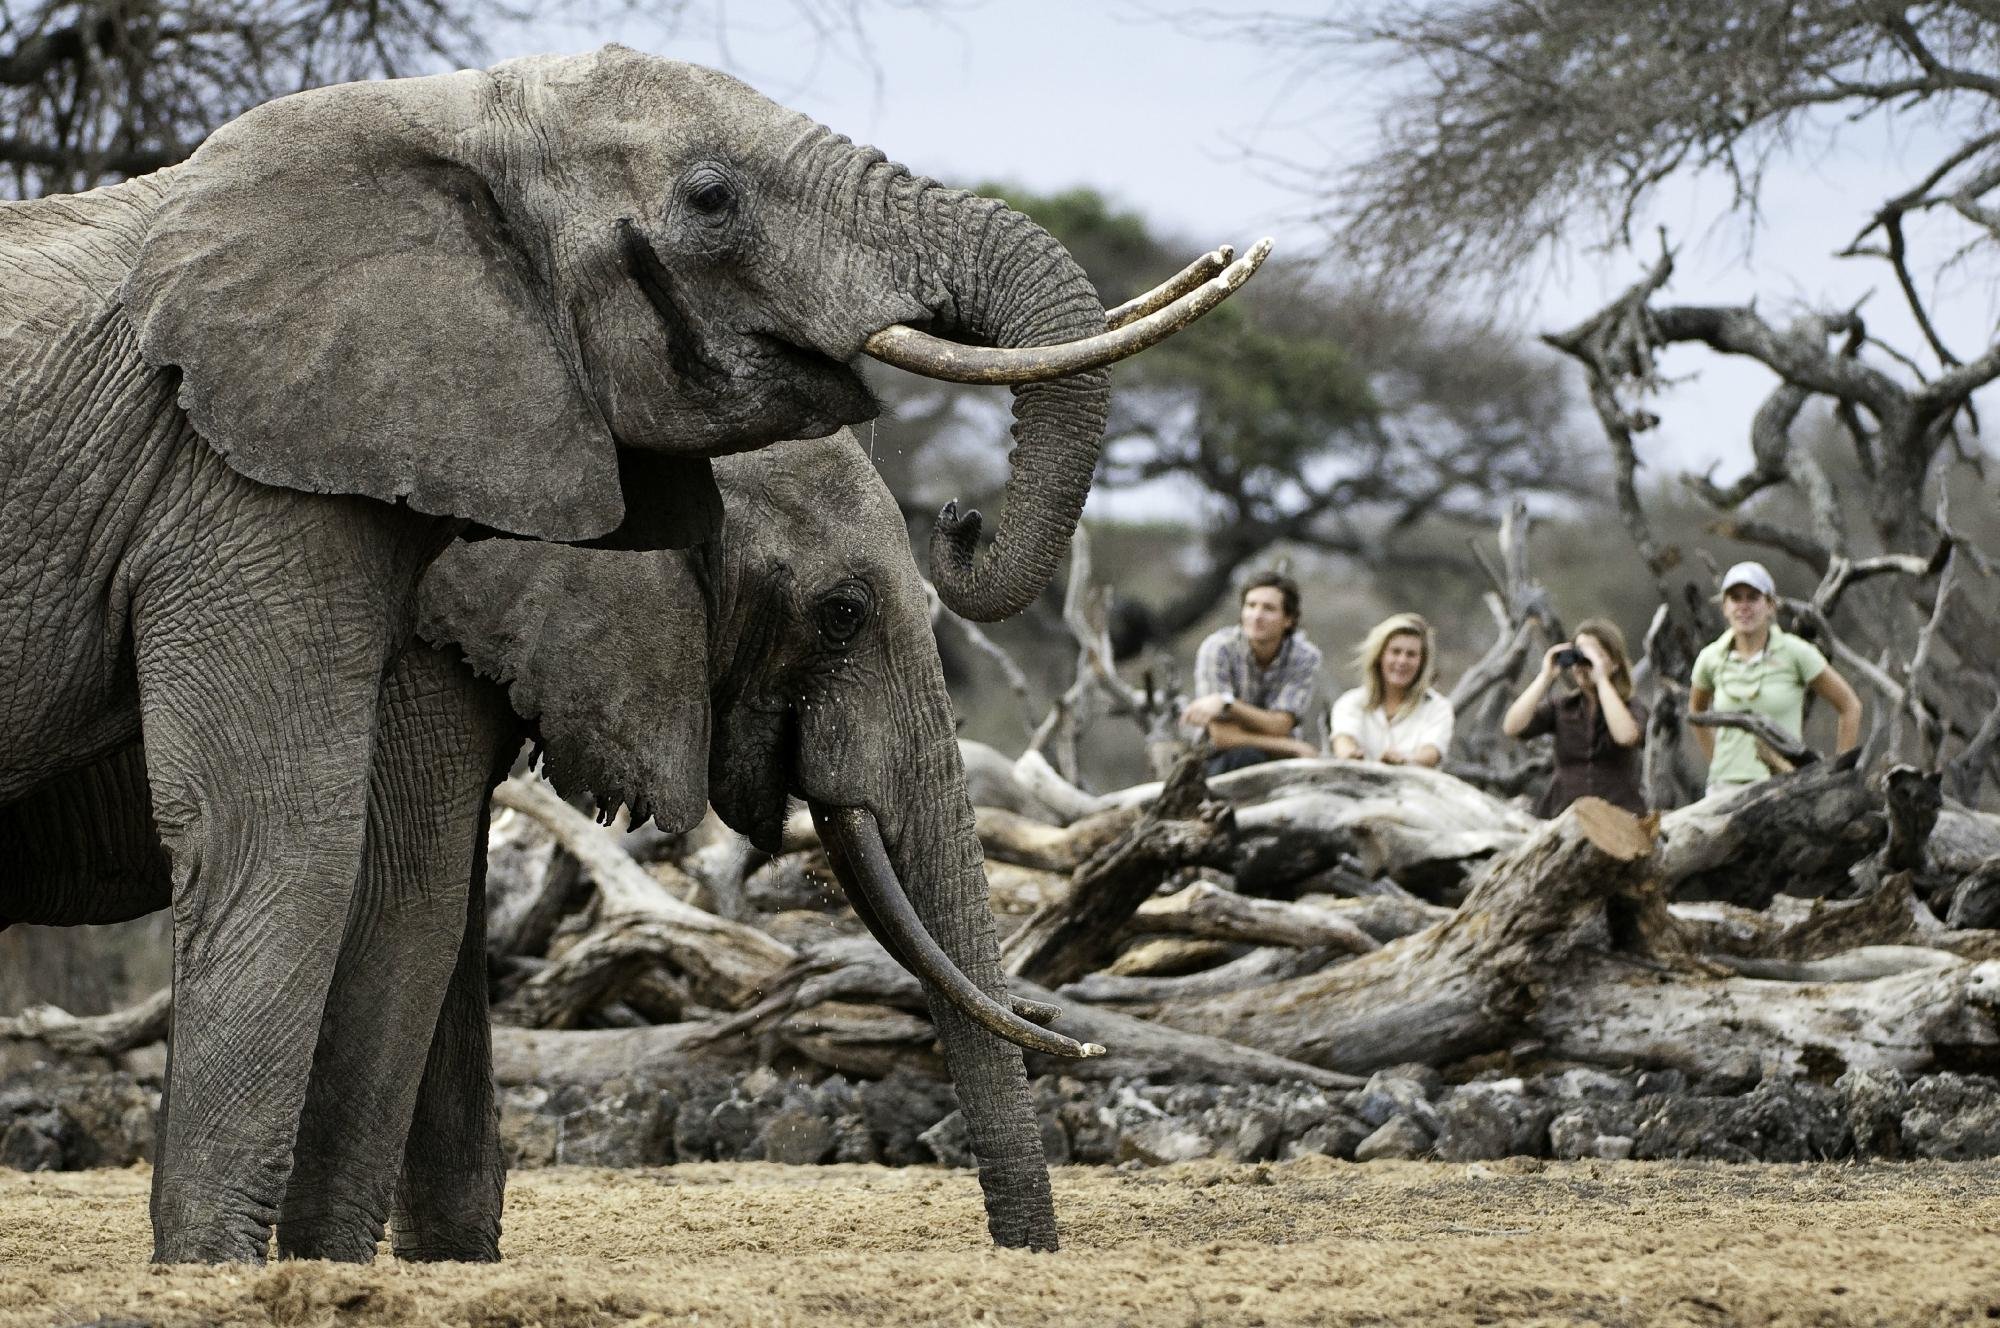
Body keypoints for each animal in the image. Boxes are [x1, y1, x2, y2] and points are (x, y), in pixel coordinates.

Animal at [0, 44, 1248, 1264]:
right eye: (842, 613)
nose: (958, 516)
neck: (446, 119)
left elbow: (441, 915)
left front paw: (427, 1263)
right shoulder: (260, 498)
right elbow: (338, 864)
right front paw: (247, 1271)